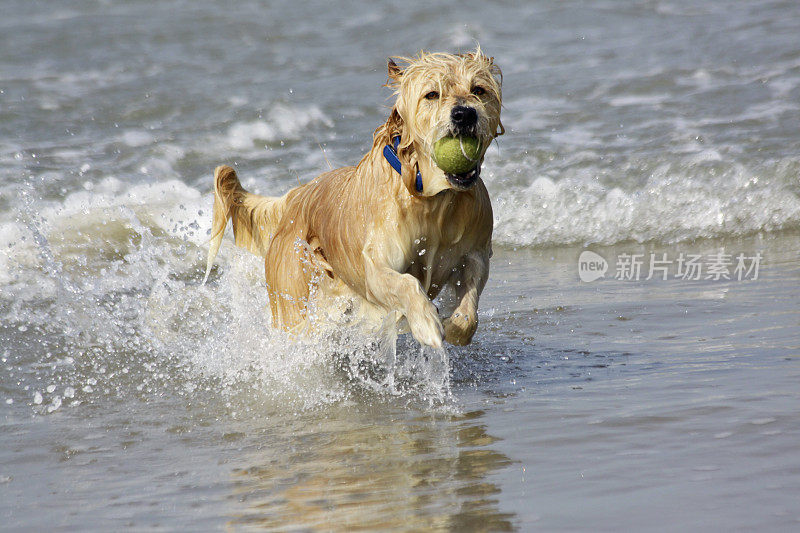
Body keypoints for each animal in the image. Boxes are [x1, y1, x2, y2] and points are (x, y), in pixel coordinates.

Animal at [206, 48, 506, 350]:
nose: (464, 114)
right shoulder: (376, 268)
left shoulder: (476, 253)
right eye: (431, 94)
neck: (432, 197)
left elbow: (469, 308)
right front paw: (425, 321)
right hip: (291, 295)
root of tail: (296, 196)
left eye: (478, 90)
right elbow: (405, 284)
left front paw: (453, 326)